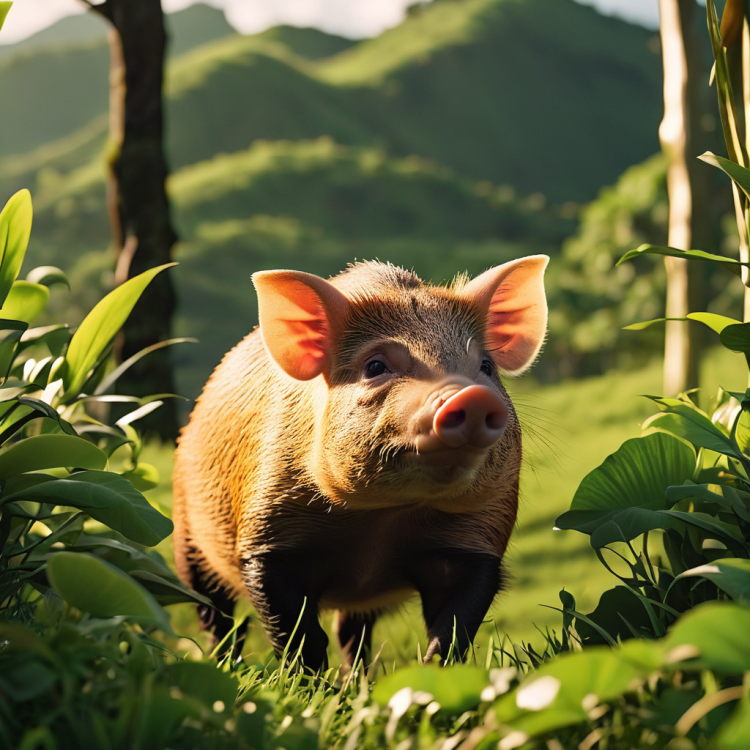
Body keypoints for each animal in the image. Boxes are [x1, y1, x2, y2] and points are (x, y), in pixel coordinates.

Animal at [172, 256, 548, 671]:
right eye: (376, 366)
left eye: (485, 366)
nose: (472, 395)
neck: (381, 520)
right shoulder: (264, 539)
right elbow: (298, 635)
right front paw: (309, 684)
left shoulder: (480, 541)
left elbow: (451, 632)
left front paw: (429, 677)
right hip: (186, 535)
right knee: (216, 615)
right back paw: (226, 665)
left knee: (352, 631)